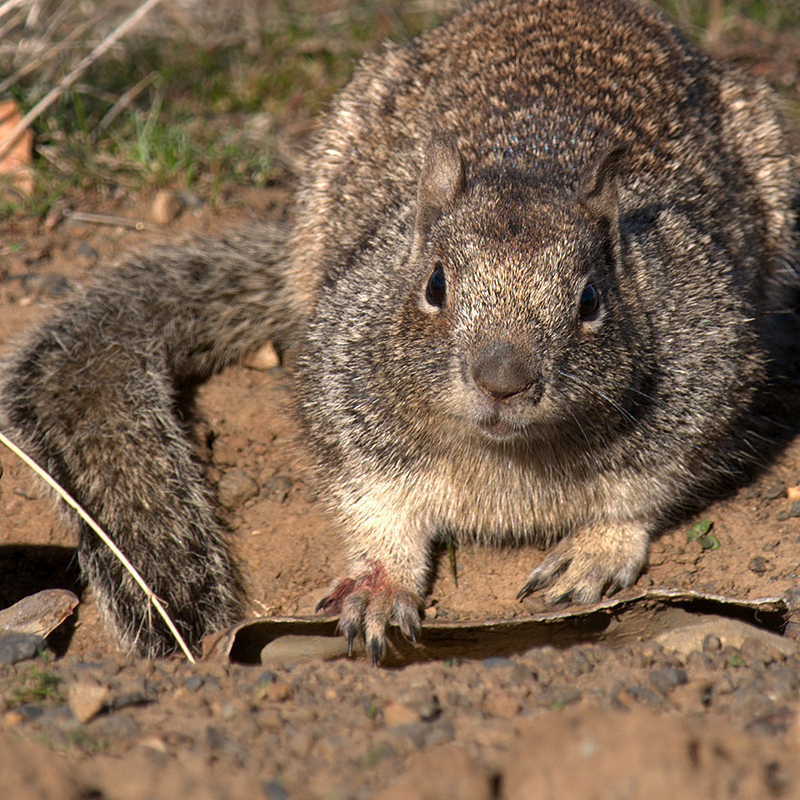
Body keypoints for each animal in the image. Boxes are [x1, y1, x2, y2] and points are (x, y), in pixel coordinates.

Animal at [1, 0, 800, 664]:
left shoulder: (704, 380)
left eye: (592, 299)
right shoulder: (347, 400)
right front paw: (381, 588)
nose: (504, 381)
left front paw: (595, 551)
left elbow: (641, 494)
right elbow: (375, 502)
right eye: (434, 286)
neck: (505, 458)